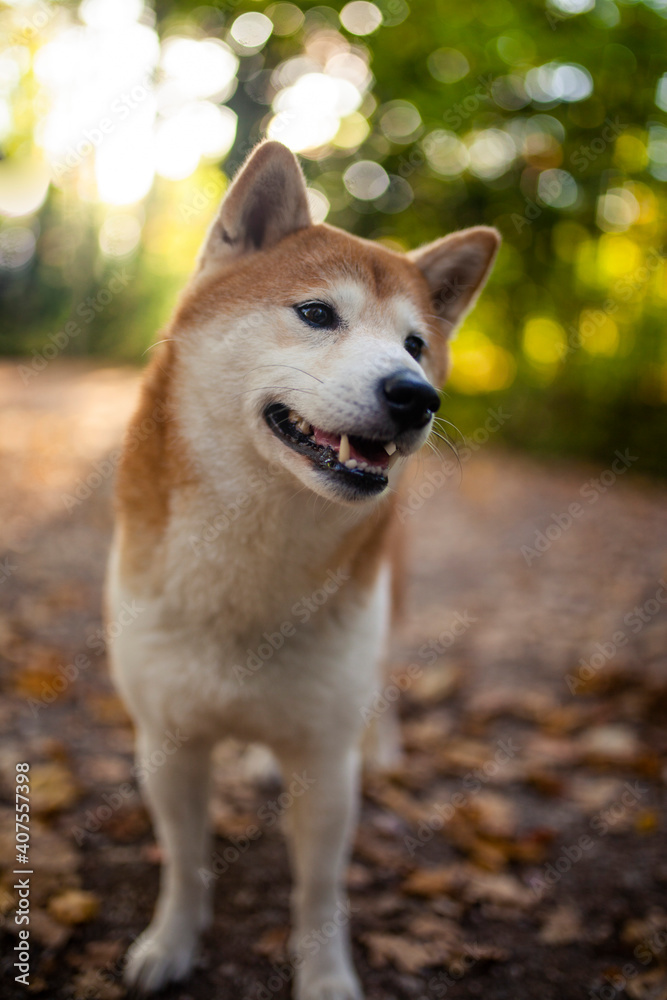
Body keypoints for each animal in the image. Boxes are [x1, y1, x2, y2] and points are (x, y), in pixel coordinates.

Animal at [105, 141, 500, 1000]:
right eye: (317, 314)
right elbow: (184, 863)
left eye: (414, 344)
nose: (415, 395)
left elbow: (318, 890)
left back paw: (382, 743)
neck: (251, 567)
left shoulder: (324, 762)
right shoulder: (169, 742)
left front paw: (324, 977)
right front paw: (170, 943)